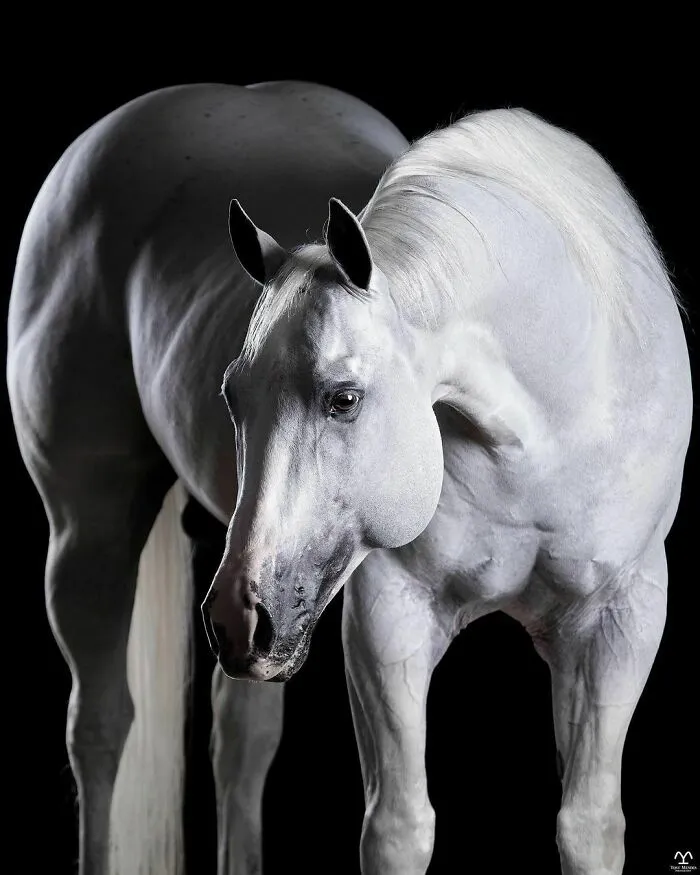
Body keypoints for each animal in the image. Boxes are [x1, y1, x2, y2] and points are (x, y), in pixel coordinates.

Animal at [203, 109, 692, 875]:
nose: (235, 618)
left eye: (343, 398)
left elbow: (589, 824)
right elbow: (400, 825)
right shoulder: (389, 611)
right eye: (232, 396)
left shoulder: (622, 616)